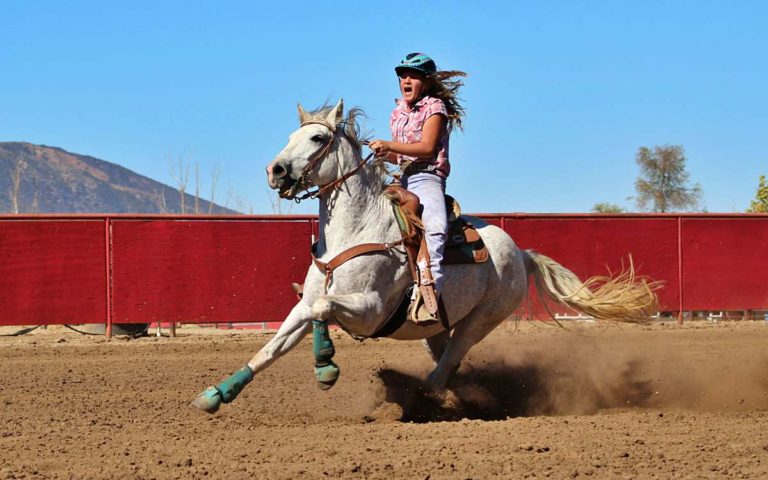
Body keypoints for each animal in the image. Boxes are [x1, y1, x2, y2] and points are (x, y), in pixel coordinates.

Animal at [190, 100, 656, 412]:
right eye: (290, 138)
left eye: (318, 137)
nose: (276, 171)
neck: (354, 231)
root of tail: (520, 253)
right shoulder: (303, 306)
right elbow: (275, 346)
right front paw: (217, 394)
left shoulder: (370, 310)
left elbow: (325, 309)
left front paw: (325, 367)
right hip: (438, 324)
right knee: (447, 357)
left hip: (483, 318)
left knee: (450, 359)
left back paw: (425, 396)